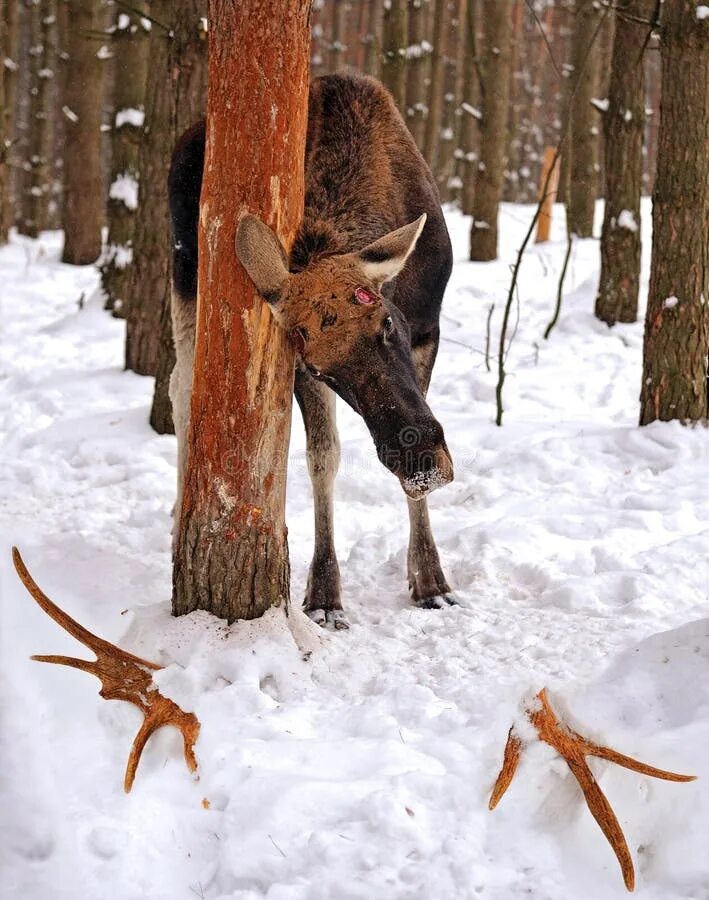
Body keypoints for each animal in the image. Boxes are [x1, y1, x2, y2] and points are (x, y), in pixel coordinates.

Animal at [166, 74, 454, 624]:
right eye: (326, 371)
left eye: (387, 323)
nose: (421, 460)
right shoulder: (296, 368)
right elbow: (323, 457)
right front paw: (323, 593)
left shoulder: (430, 329)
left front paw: (431, 580)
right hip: (185, 274)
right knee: (182, 386)